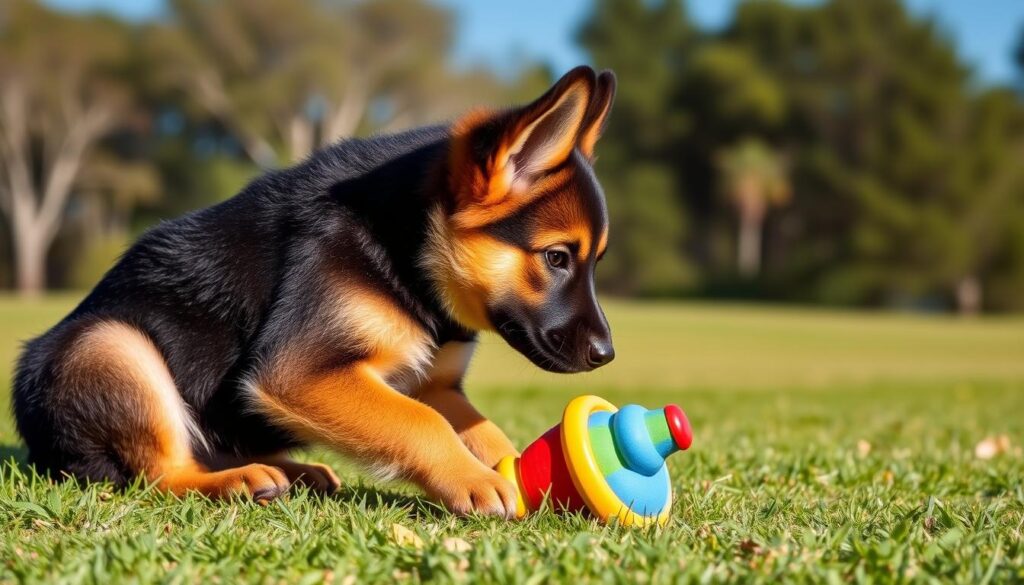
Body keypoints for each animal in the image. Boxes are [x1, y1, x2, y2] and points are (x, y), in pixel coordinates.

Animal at [12, 65, 614, 516]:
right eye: (556, 258)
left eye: (595, 262)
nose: (607, 355)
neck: (405, 250)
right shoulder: (296, 370)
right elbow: (420, 423)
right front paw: (476, 480)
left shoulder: (434, 384)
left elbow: (478, 428)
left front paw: (510, 466)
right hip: (112, 345)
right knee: (162, 472)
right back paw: (237, 481)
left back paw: (287, 472)